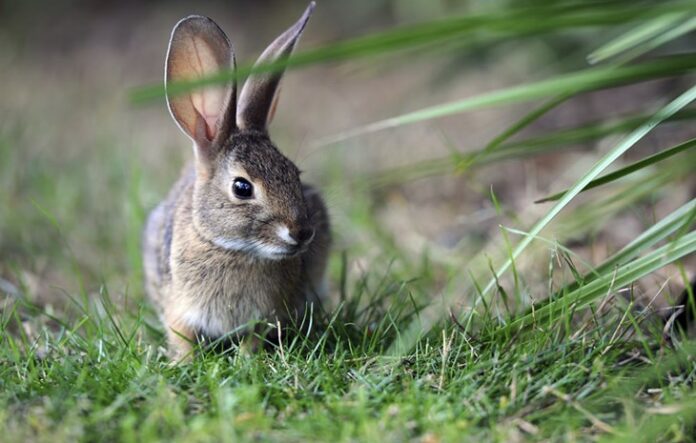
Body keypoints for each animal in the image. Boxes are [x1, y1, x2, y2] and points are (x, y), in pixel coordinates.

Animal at [143, 3, 330, 362]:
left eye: (295, 174)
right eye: (242, 188)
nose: (301, 232)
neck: (233, 249)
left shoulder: (265, 315)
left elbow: (253, 338)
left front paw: (247, 361)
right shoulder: (179, 309)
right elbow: (182, 337)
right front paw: (185, 363)